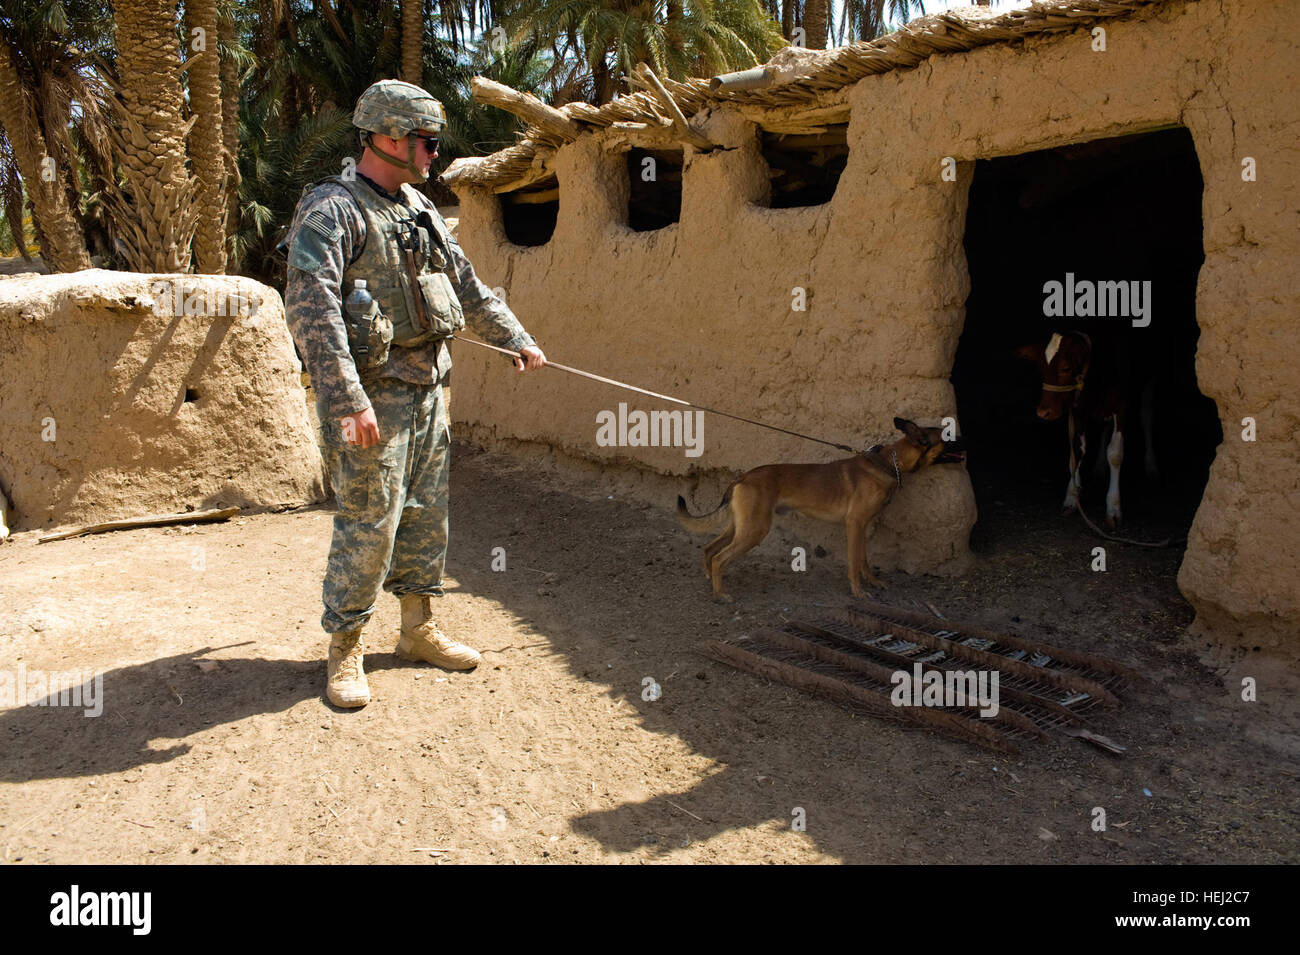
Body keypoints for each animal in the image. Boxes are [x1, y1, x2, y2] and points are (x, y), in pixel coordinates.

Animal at [681, 415, 967, 600]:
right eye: (948, 436)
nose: (967, 441)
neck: (888, 462)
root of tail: (742, 477)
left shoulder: (861, 527)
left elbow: (864, 560)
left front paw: (873, 582)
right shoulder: (854, 524)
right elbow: (854, 562)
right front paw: (858, 591)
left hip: (741, 526)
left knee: (709, 549)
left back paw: (710, 580)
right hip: (754, 530)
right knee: (719, 557)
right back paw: (720, 594)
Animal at [1013, 332, 1159, 530]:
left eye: (1066, 368)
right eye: (1041, 368)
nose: (1043, 412)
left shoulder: (1122, 404)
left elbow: (1115, 454)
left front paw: (1113, 508)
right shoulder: (1078, 407)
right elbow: (1076, 450)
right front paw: (1071, 497)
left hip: (1149, 377)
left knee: (1146, 417)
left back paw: (1150, 464)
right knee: (1105, 427)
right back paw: (1099, 466)